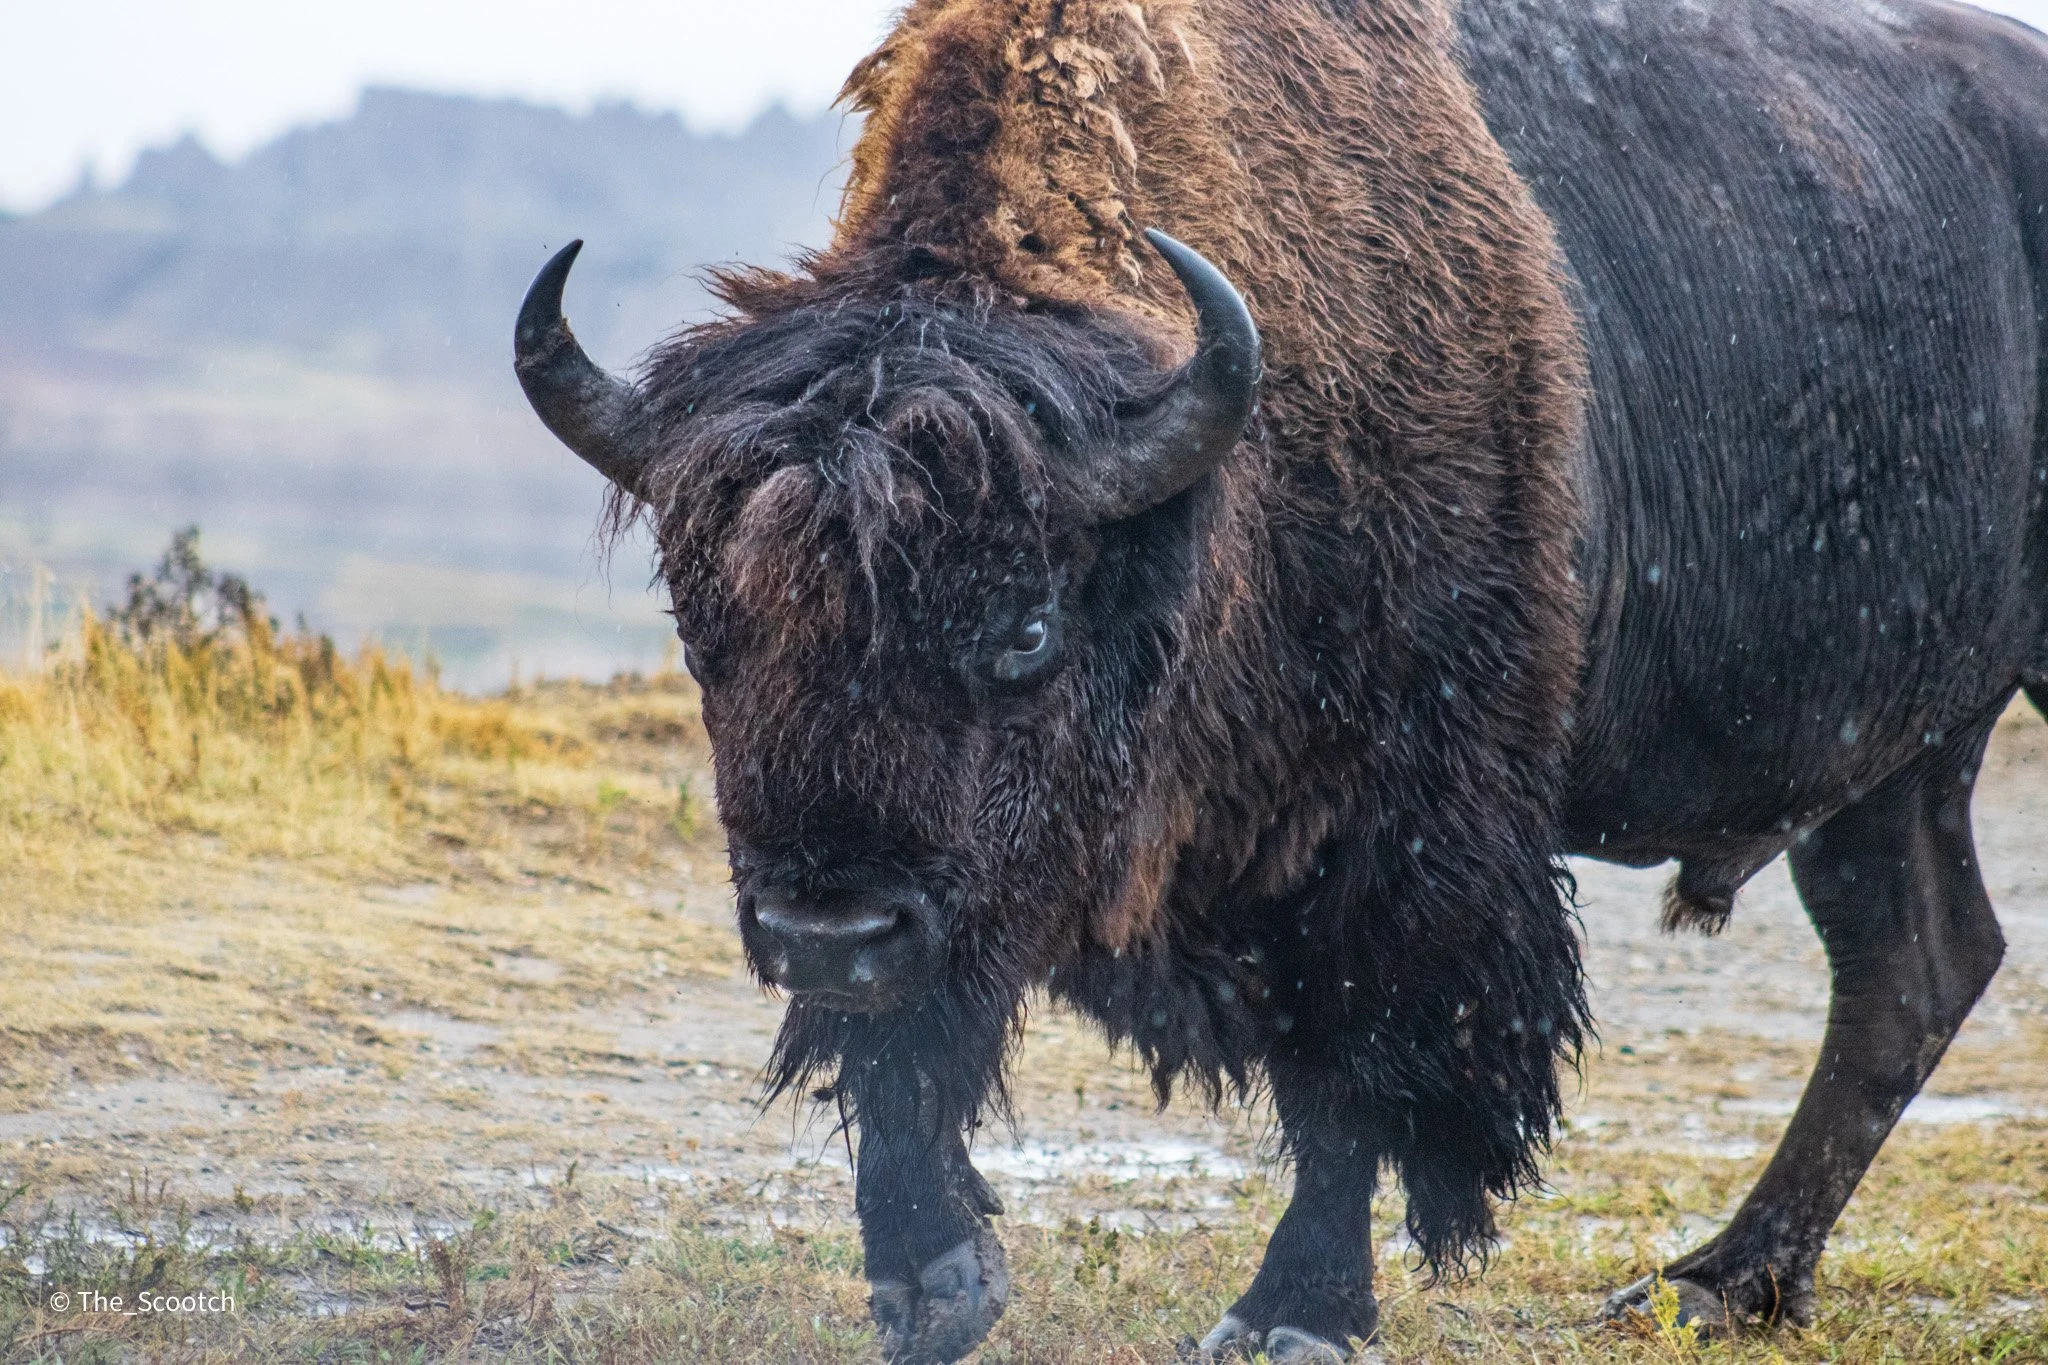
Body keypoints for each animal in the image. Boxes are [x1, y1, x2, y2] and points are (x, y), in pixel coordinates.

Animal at [513, 0, 2048, 1359]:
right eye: (707, 627)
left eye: (1026, 630)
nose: (827, 927)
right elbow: (907, 1056)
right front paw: (929, 1289)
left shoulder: (1388, 840)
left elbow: (1350, 1082)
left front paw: (1290, 1315)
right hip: (1904, 755)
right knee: (1915, 962)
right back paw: (1718, 1286)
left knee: (1908, 968)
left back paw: (1708, 1282)